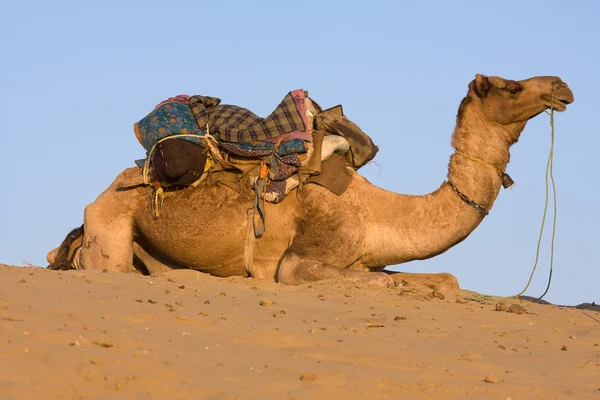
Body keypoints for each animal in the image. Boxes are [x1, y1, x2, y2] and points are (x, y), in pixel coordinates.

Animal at [47, 74, 572, 290]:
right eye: (512, 88)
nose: (561, 86)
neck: (375, 211)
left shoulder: (367, 258)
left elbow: (443, 278)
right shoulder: (302, 259)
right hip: (111, 227)